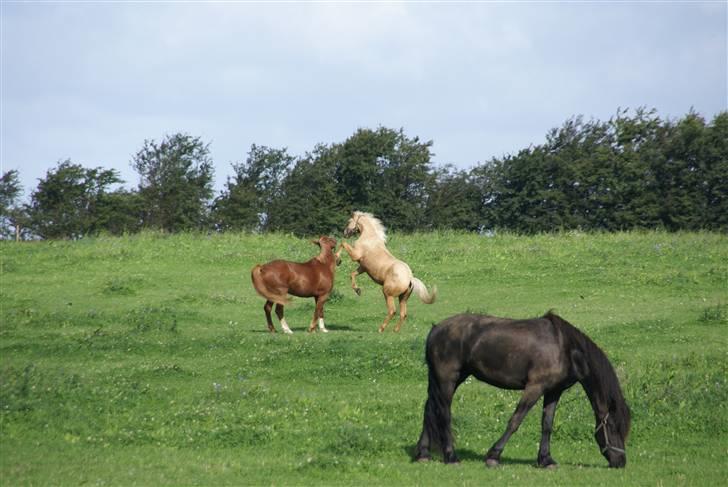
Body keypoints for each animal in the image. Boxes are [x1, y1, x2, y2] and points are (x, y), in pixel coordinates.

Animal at [416, 312, 632, 468]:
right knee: (443, 413)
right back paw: (451, 457)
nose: (620, 462)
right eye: (614, 427)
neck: (564, 348)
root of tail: (436, 329)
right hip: (447, 379)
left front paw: (546, 460)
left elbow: (547, 425)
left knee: (429, 410)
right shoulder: (535, 387)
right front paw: (493, 456)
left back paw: (423, 454)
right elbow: (515, 421)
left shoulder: (553, 392)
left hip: (448, 379)